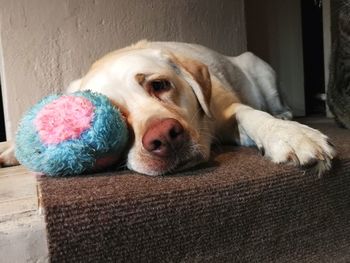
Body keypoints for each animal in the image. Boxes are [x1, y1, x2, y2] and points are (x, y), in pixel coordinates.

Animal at [0, 41, 336, 176]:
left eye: (160, 85)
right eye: (116, 115)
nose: (164, 137)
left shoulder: (224, 112)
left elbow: (249, 113)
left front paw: (290, 135)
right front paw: (10, 149)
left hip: (260, 67)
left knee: (275, 101)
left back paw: (284, 115)